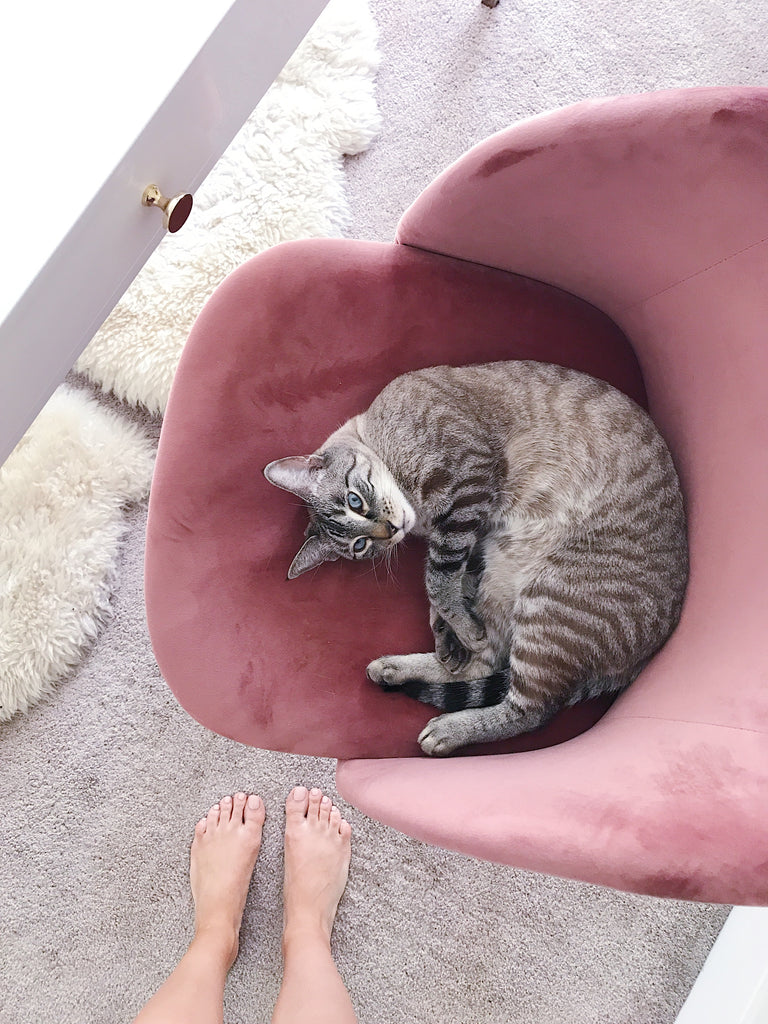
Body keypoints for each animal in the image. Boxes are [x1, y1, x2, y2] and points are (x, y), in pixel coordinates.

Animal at [264, 358, 692, 753]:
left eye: (355, 501)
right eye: (359, 546)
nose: (388, 531)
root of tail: (639, 662)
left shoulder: (470, 488)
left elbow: (437, 580)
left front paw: (457, 630)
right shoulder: (475, 534)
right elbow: (446, 588)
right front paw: (448, 637)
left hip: (548, 604)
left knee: (530, 710)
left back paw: (446, 729)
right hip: (506, 582)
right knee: (486, 665)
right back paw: (397, 668)